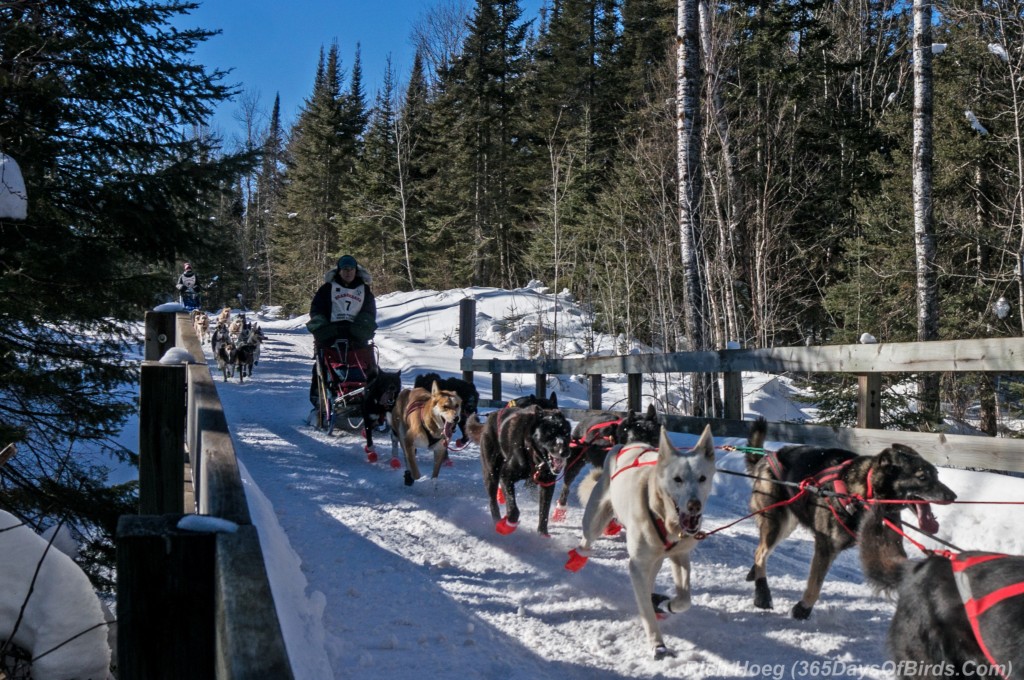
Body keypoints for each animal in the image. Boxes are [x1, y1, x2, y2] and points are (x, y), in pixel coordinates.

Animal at [466, 403, 573, 536]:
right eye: (550, 434)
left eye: (566, 433)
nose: (565, 452)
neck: (531, 454)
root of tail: (490, 418)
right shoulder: (506, 477)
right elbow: (513, 509)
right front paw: (507, 525)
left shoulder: (547, 483)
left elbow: (544, 511)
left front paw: (542, 533)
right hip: (491, 473)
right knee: (492, 501)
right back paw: (497, 521)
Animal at [565, 426, 716, 659]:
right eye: (677, 479)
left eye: (702, 478)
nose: (694, 505)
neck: (663, 516)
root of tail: (626, 445)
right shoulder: (636, 565)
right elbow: (645, 610)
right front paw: (658, 644)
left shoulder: (679, 555)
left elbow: (684, 600)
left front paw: (666, 604)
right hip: (595, 520)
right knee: (586, 541)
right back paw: (577, 558)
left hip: (656, 558)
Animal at [741, 417, 954, 618]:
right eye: (922, 477)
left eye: (936, 474)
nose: (952, 496)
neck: (864, 494)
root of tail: (766, 458)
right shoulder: (825, 547)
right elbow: (815, 585)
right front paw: (802, 609)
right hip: (776, 523)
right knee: (760, 552)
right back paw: (762, 594)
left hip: (787, 524)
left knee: (761, 551)